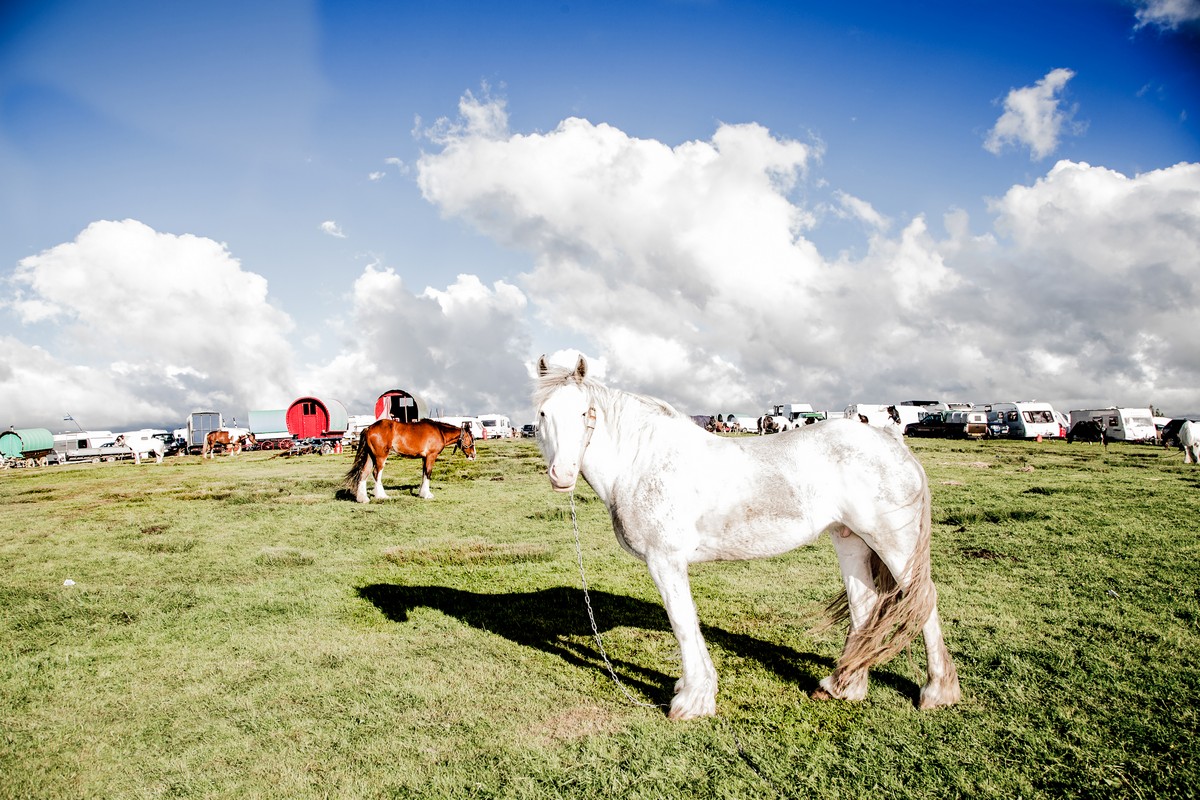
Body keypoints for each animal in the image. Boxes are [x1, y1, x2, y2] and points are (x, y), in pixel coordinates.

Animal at [343, 417, 472, 503]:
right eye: (470, 438)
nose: (473, 455)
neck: (439, 431)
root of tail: (369, 428)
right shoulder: (431, 456)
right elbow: (428, 474)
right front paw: (427, 495)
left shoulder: (424, 458)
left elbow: (424, 474)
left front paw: (421, 493)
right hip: (380, 457)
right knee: (376, 474)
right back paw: (382, 496)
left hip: (370, 457)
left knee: (364, 473)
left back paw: (363, 499)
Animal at [532, 357, 955, 719]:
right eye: (542, 414)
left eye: (585, 413)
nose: (562, 474)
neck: (641, 461)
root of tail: (893, 443)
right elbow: (688, 622)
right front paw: (692, 689)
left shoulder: (664, 559)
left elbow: (682, 622)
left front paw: (692, 701)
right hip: (850, 539)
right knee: (864, 606)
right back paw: (841, 687)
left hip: (894, 543)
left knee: (923, 601)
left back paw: (937, 692)